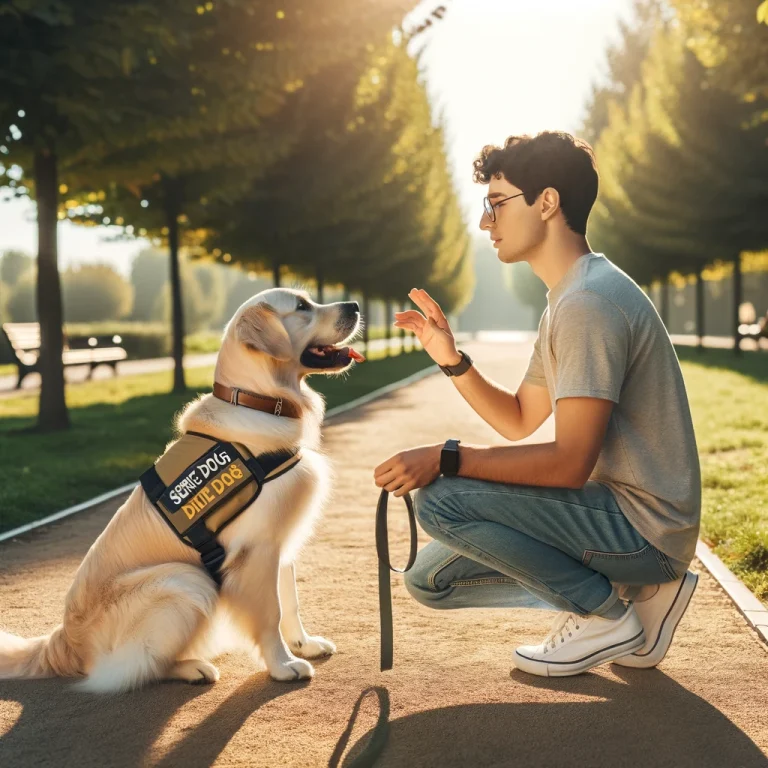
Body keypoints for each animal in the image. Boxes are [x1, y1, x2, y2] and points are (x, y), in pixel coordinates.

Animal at [0, 286, 364, 688]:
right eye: (301, 306)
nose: (355, 305)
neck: (259, 402)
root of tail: (62, 643)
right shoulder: (257, 549)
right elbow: (271, 612)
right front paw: (282, 665)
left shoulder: (281, 542)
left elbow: (291, 602)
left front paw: (304, 644)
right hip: (186, 579)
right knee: (140, 667)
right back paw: (193, 667)